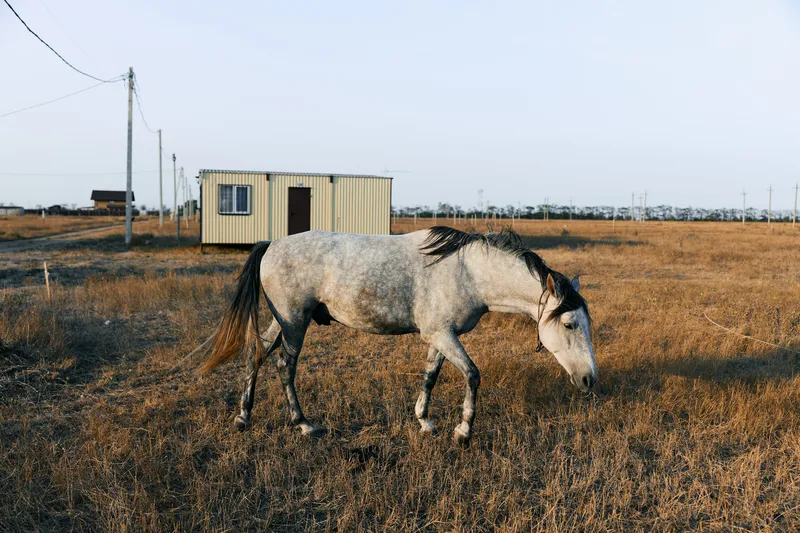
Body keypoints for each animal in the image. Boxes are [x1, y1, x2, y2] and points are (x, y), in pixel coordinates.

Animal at [197, 226, 597, 444]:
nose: (589, 379)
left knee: (257, 354)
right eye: (569, 325)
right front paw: (463, 431)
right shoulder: (443, 334)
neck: (467, 272)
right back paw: (304, 424)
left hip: (282, 321)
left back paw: (243, 417)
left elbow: (430, 376)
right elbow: (472, 374)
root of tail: (271, 244)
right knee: (284, 366)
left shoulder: (439, 336)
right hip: (294, 321)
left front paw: (425, 421)